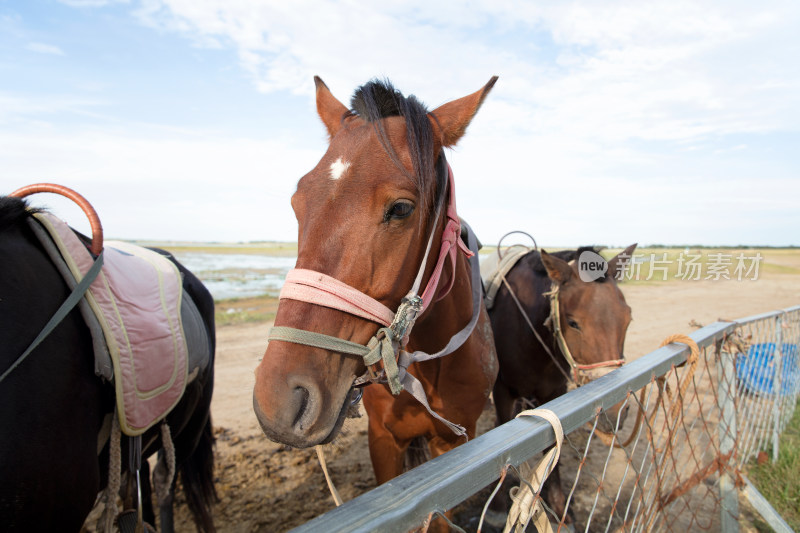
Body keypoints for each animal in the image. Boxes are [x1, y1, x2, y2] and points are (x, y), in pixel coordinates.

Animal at [484, 243, 636, 520]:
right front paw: (498, 504)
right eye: (573, 322)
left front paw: (558, 503)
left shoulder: (554, 393)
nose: (616, 409)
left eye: (627, 319)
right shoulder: (503, 391)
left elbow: (552, 448)